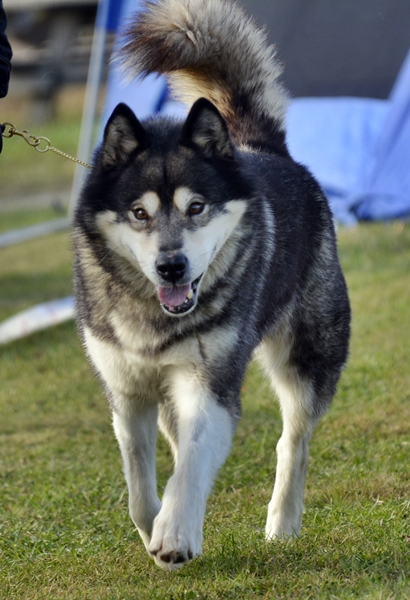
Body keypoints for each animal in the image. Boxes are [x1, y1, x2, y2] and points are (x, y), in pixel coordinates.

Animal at [73, 0, 350, 572]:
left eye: (196, 207)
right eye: (140, 214)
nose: (171, 267)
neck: (156, 320)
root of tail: (262, 148)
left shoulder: (211, 383)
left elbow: (197, 458)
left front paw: (176, 533)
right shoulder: (127, 394)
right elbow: (140, 489)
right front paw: (159, 527)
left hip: (309, 356)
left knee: (292, 441)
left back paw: (282, 523)